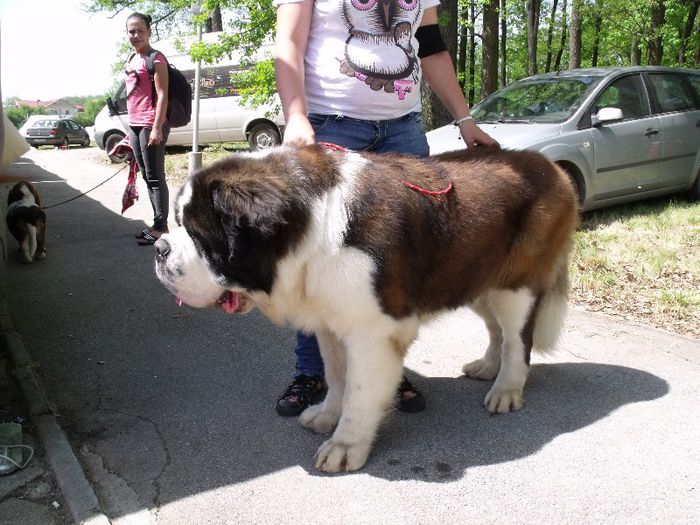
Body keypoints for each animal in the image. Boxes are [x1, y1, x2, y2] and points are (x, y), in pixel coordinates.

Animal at [153, 143, 580, 470]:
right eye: (178, 224)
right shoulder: (331, 321)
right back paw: (487, 367)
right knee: (497, 330)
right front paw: (327, 415)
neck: (311, 228)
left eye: (198, 234)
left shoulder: (372, 332)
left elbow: (359, 392)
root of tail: (552, 167)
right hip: (474, 280)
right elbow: (337, 377)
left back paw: (506, 388)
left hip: (515, 286)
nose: (158, 248)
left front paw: (346, 446)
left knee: (517, 341)